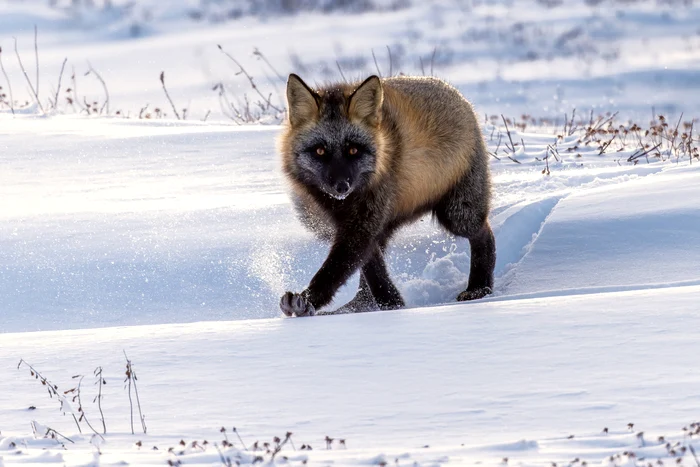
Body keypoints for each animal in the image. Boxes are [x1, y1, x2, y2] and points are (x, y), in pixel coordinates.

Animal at [276, 73, 494, 318]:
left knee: (485, 235)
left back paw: (479, 288)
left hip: (457, 215)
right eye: (320, 151)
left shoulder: (363, 223)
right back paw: (358, 306)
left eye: (353, 150)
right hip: (389, 225)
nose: (342, 187)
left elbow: (335, 269)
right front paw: (391, 304)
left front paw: (307, 301)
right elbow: (372, 270)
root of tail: (460, 96)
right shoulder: (358, 224)